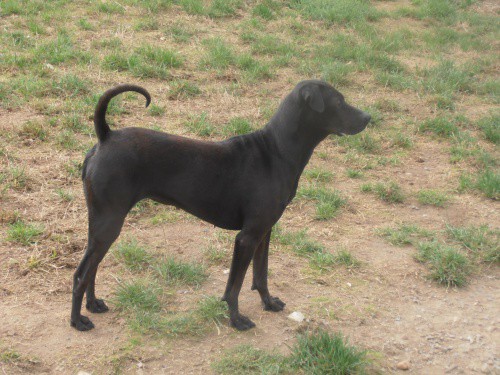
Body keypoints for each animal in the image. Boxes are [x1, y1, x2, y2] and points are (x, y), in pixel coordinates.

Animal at [72, 80, 372, 332]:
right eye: (338, 101)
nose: (369, 117)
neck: (277, 151)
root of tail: (106, 136)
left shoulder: (264, 233)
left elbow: (261, 274)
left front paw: (268, 303)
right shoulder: (246, 238)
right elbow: (234, 287)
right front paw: (237, 319)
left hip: (100, 226)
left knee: (91, 269)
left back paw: (93, 304)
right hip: (109, 224)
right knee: (80, 274)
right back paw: (77, 321)